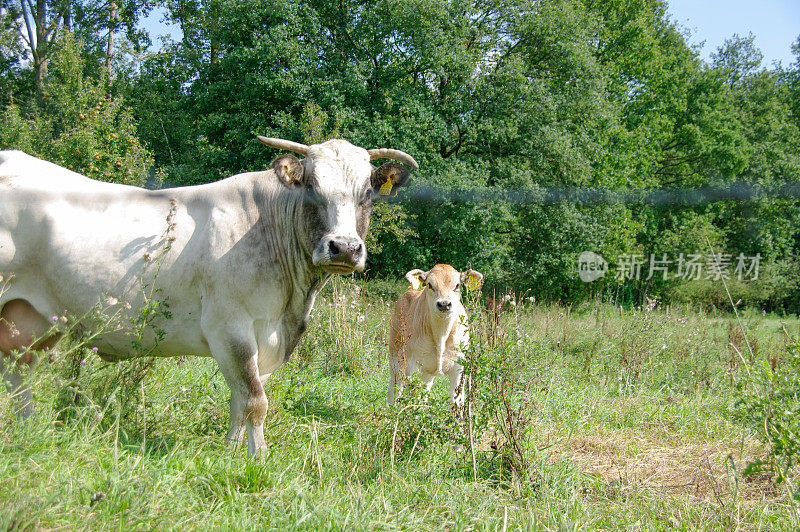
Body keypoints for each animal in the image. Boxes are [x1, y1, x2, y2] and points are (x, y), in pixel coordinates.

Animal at [1, 136, 418, 454]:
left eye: (368, 193)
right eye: (312, 188)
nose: (344, 248)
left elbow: (239, 400)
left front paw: (231, 452)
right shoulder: (230, 326)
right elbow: (254, 400)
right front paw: (257, 457)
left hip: (35, 317)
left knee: (18, 370)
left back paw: (28, 428)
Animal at [388, 264, 482, 406]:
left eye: (457, 285)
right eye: (429, 284)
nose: (444, 304)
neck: (441, 335)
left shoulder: (459, 368)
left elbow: (456, 402)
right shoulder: (414, 367)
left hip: (427, 372)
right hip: (396, 357)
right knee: (394, 388)